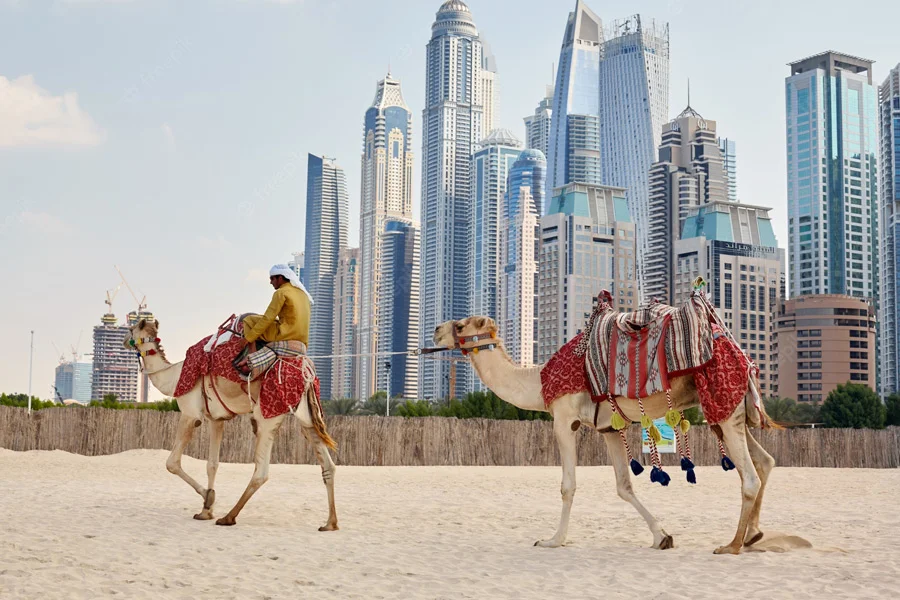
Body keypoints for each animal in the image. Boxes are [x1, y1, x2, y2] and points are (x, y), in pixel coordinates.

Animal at [124, 318, 339, 530]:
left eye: (131, 328)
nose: (125, 340)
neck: (174, 378)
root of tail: (307, 373)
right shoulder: (216, 419)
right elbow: (212, 464)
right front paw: (205, 510)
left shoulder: (190, 414)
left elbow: (172, 463)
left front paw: (207, 498)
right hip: (307, 417)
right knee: (328, 464)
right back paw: (330, 523)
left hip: (267, 416)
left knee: (261, 472)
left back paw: (228, 517)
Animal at [433, 316, 775, 554]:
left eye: (460, 324)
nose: (436, 330)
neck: (539, 380)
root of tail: (742, 355)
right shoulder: (610, 427)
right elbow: (624, 486)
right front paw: (662, 537)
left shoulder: (564, 419)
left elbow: (567, 486)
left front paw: (552, 540)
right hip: (729, 410)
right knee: (765, 461)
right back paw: (754, 535)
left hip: (722, 402)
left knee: (749, 476)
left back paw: (731, 545)